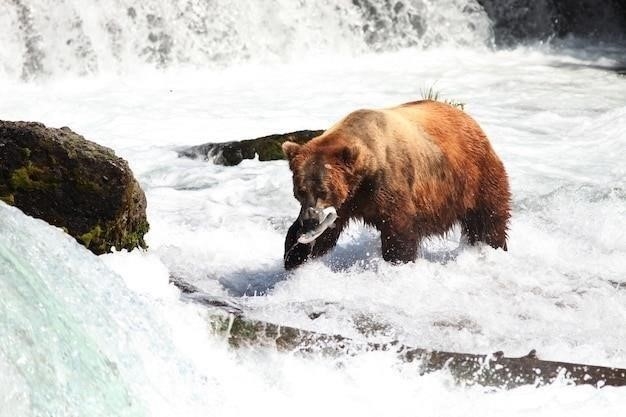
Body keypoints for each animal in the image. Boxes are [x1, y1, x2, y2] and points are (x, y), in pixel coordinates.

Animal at [280, 101, 510, 270]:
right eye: (300, 190)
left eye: (323, 190)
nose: (310, 220)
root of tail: (469, 119)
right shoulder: (347, 200)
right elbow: (325, 235)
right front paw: (295, 255)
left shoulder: (388, 182)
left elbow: (398, 227)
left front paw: (398, 262)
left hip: (473, 177)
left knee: (489, 217)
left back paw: (494, 248)